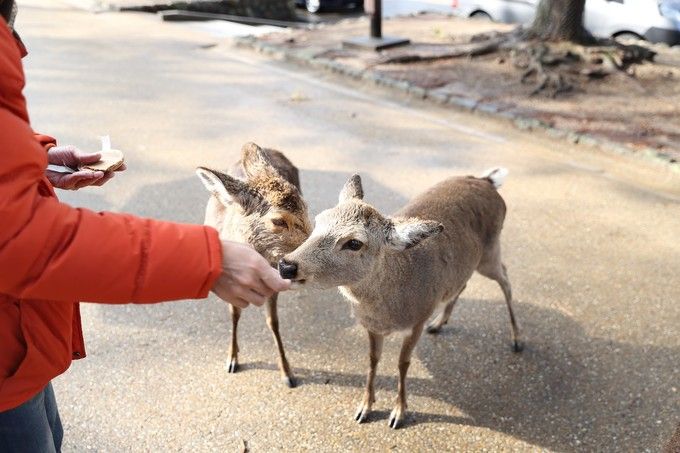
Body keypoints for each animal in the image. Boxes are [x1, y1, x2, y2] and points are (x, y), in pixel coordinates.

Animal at [197, 141, 310, 384]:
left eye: (307, 210)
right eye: (278, 220)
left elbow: (273, 322)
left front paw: (287, 372)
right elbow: (234, 313)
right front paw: (232, 359)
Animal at [278, 169, 524, 428]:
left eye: (354, 243)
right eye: (318, 221)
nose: (286, 265)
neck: (390, 312)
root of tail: (487, 180)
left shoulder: (418, 319)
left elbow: (403, 363)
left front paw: (398, 413)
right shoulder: (371, 327)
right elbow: (373, 359)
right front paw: (364, 408)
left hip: (490, 252)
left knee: (506, 278)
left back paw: (517, 339)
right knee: (463, 283)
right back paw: (438, 324)